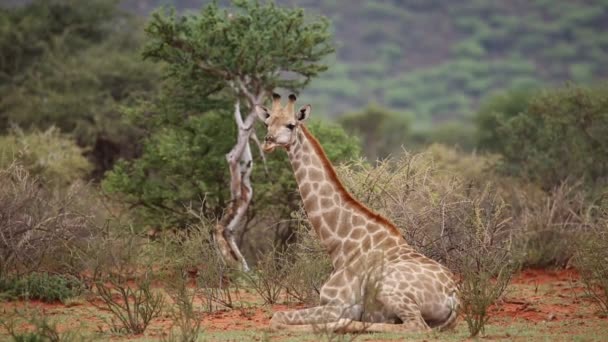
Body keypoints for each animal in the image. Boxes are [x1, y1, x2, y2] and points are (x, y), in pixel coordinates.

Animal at [254, 93, 458, 334]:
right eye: (267, 123)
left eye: (291, 125)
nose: (267, 141)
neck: (340, 245)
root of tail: (454, 297)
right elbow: (277, 317)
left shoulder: (337, 304)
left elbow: (276, 319)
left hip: (389, 289)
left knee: (414, 326)